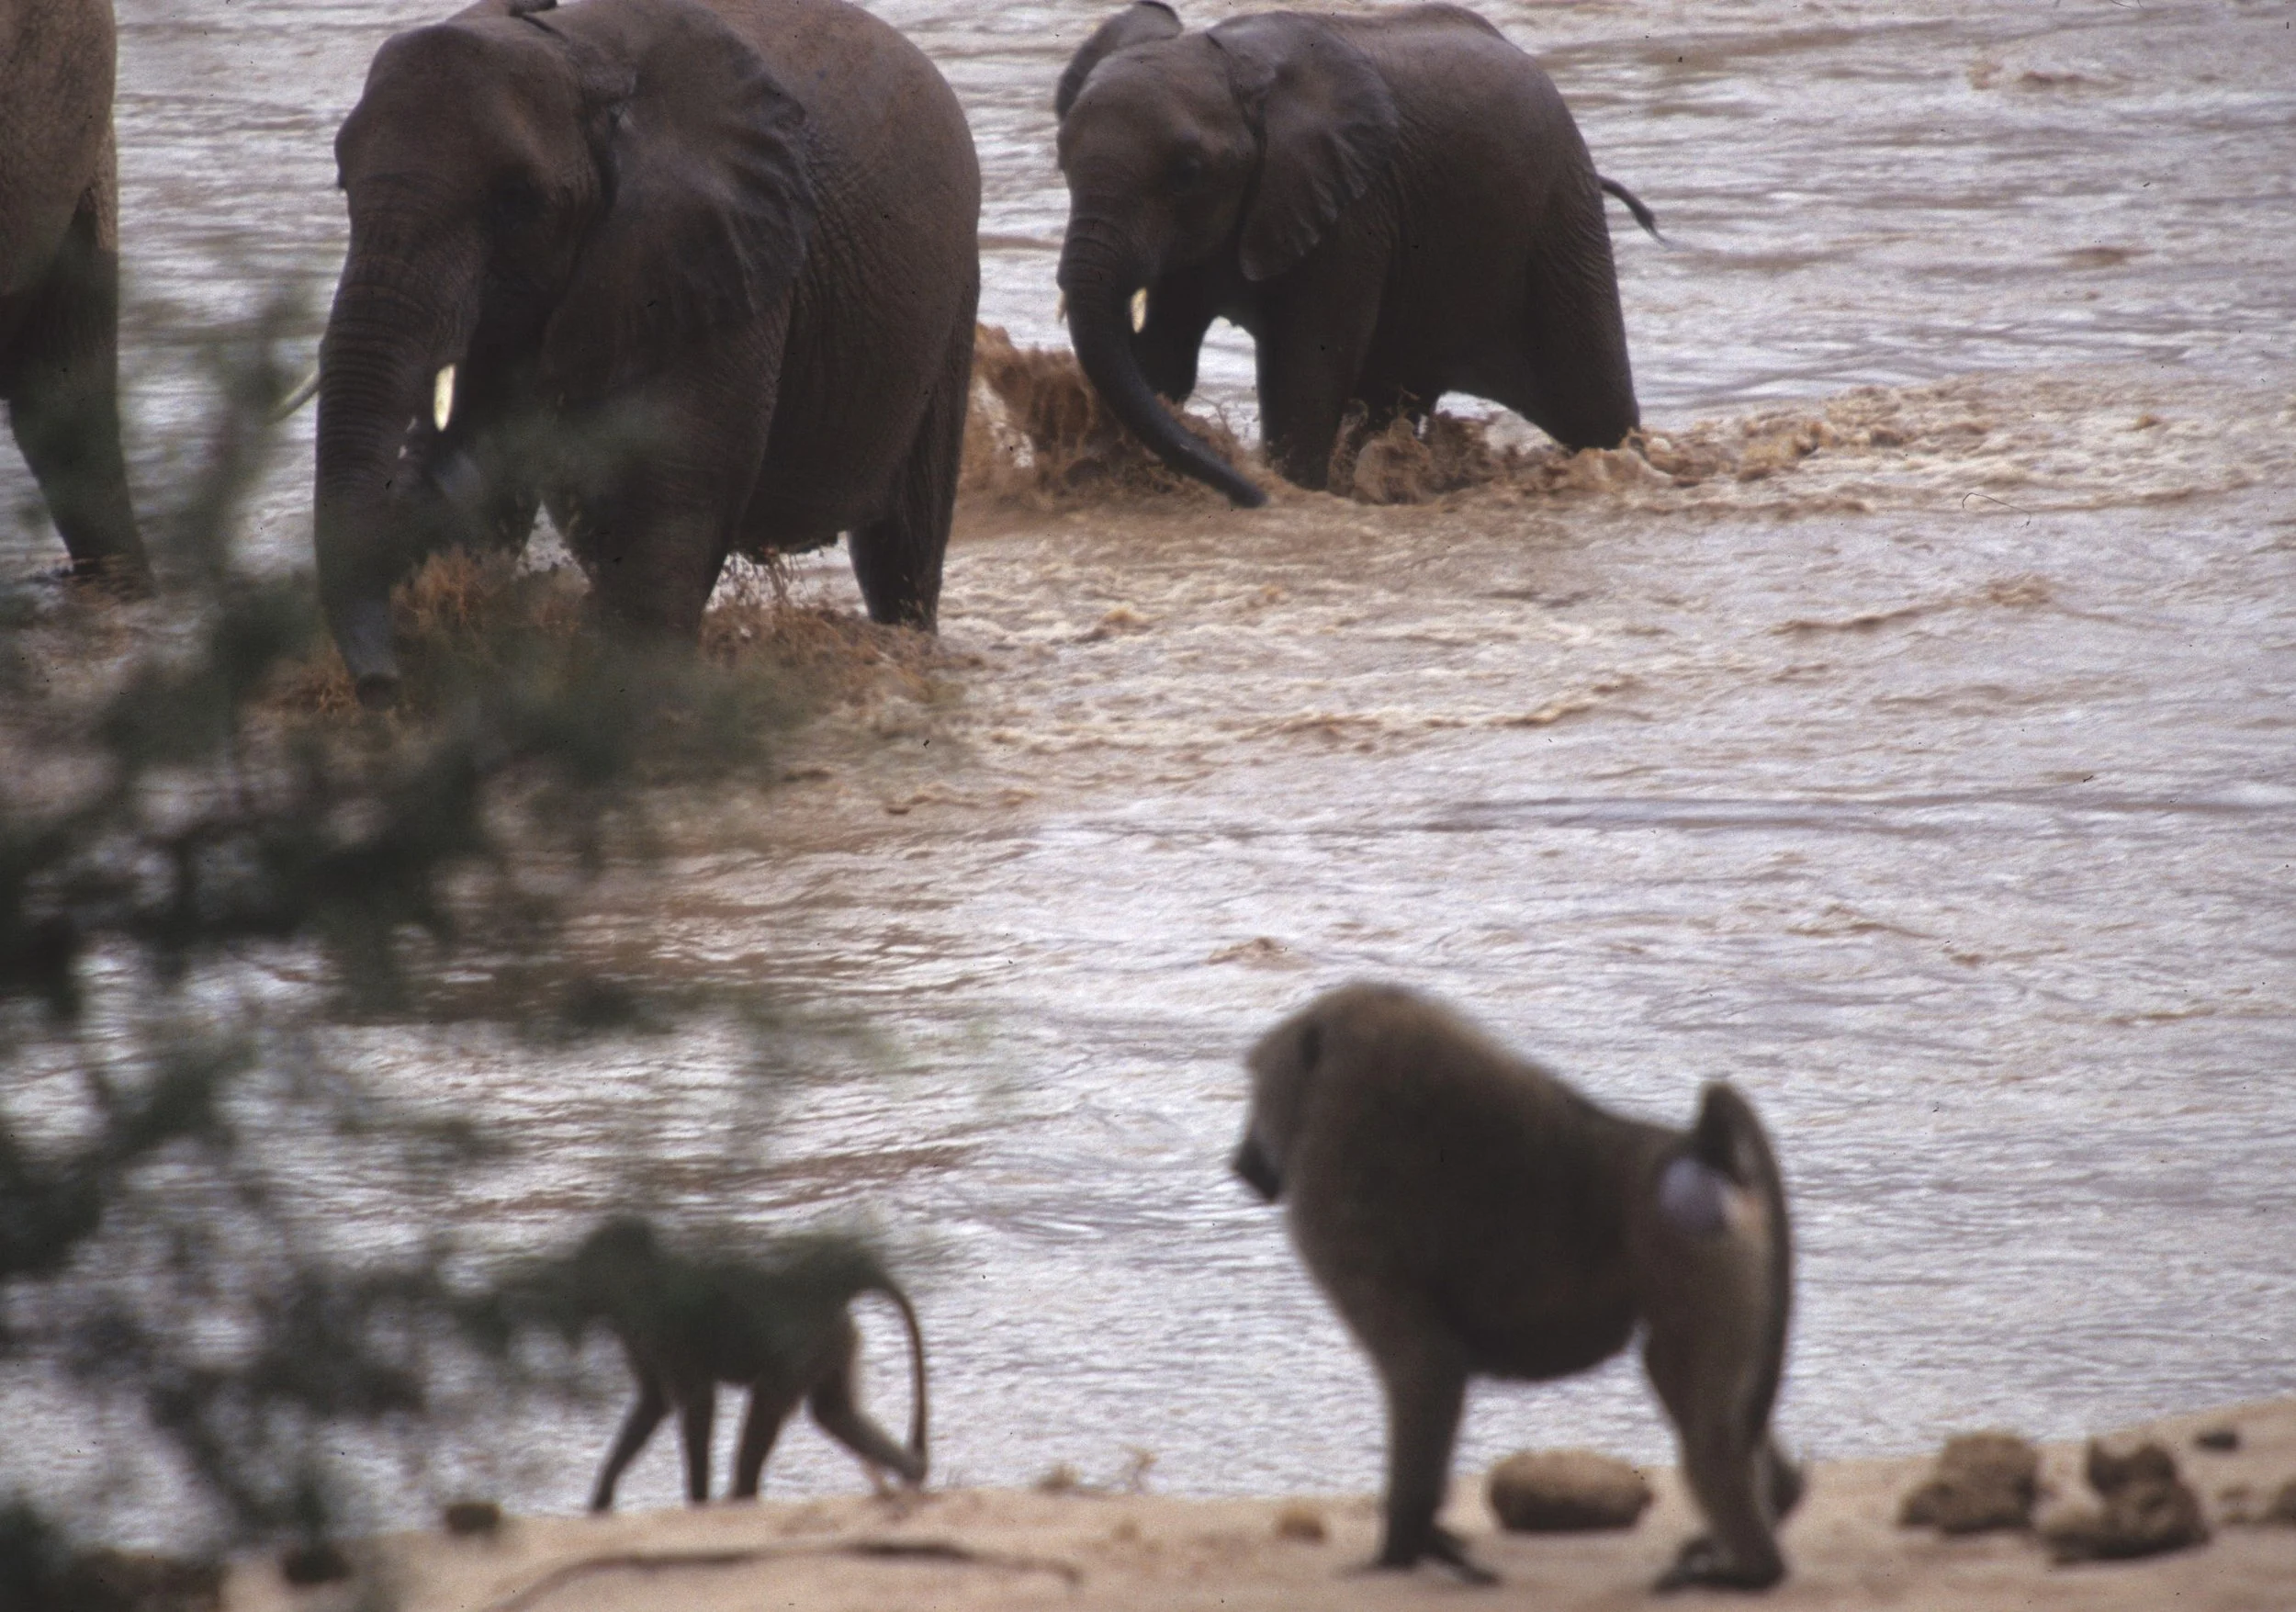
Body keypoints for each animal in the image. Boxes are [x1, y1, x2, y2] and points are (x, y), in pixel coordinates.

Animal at [315, 0, 979, 708]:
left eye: (516, 201)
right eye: (342, 182)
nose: (381, 689)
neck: (577, 56)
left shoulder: (717, 260)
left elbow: (667, 505)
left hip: (949, 299)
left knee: (901, 546)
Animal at [1054, 2, 1647, 505]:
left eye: (1186, 174)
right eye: (1062, 160)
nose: (1255, 496)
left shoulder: (1354, 211)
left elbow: (1305, 370)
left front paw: (1296, 487)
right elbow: (1164, 357)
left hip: (1561, 219)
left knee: (1593, 408)